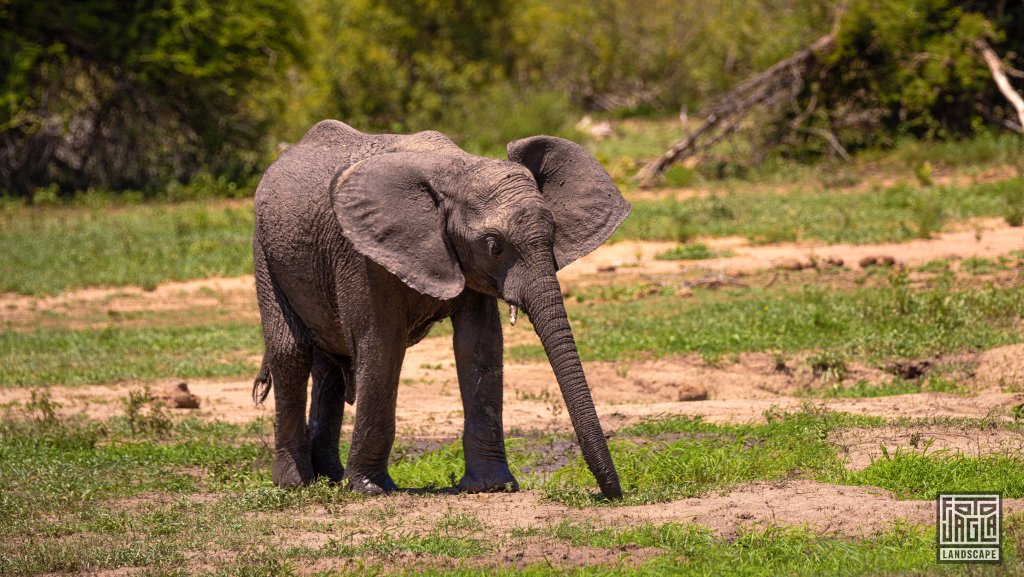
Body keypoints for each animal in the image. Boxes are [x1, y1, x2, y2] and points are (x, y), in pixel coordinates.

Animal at [250, 119, 626, 498]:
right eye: (493, 245)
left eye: (553, 234)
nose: (612, 493)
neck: (458, 170)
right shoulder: (362, 254)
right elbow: (381, 346)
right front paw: (371, 490)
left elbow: (479, 344)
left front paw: (492, 486)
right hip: (264, 250)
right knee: (291, 353)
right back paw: (295, 483)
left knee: (329, 364)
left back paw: (329, 477)